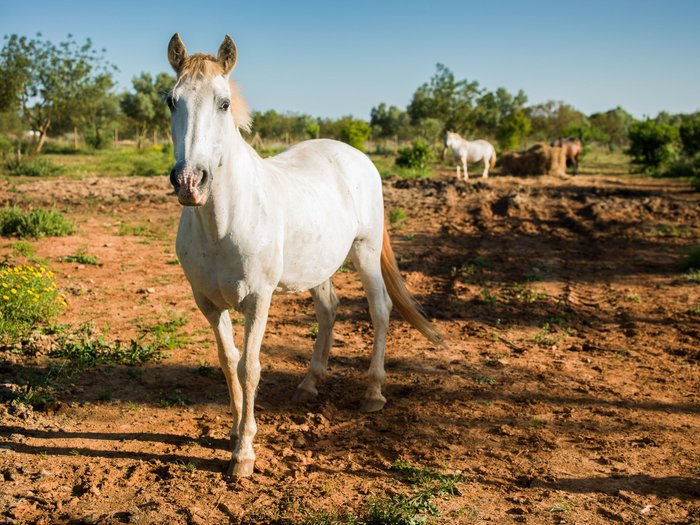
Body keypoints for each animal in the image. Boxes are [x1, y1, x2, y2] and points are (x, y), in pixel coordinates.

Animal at [166, 31, 440, 474]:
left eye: (223, 102)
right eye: (172, 101)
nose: (190, 181)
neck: (223, 223)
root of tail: (354, 155)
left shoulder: (258, 299)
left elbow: (249, 367)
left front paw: (244, 453)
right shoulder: (207, 303)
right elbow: (227, 362)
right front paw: (234, 434)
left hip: (365, 253)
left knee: (380, 310)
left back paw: (373, 393)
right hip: (319, 267)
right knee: (329, 310)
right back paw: (309, 384)